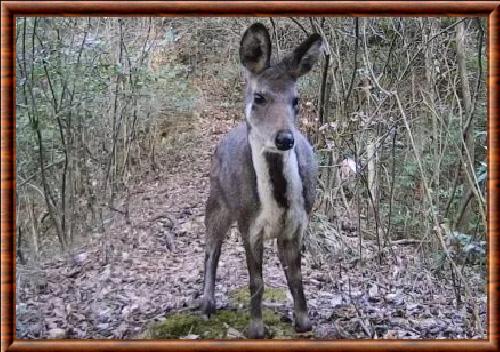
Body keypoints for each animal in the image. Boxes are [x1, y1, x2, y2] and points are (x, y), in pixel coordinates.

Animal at [202, 22, 322, 338]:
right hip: (216, 200)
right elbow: (256, 279)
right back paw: (206, 304)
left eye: (296, 99)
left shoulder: (298, 224)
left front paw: (303, 322)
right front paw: (256, 328)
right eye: (259, 97)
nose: (285, 139)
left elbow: (295, 276)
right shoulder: (249, 225)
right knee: (211, 248)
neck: (276, 204)